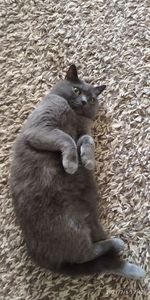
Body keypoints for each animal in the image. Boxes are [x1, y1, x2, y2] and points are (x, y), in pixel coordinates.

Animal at [10, 63, 145, 278]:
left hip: (89, 223)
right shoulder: (42, 128)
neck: (74, 115)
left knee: (100, 259)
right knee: (87, 255)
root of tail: (43, 260)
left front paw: (88, 161)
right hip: (70, 230)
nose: (83, 101)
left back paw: (126, 257)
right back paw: (118, 245)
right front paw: (72, 165)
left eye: (92, 99)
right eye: (76, 90)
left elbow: (86, 140)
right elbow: (66, 139)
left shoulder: (83, 131)